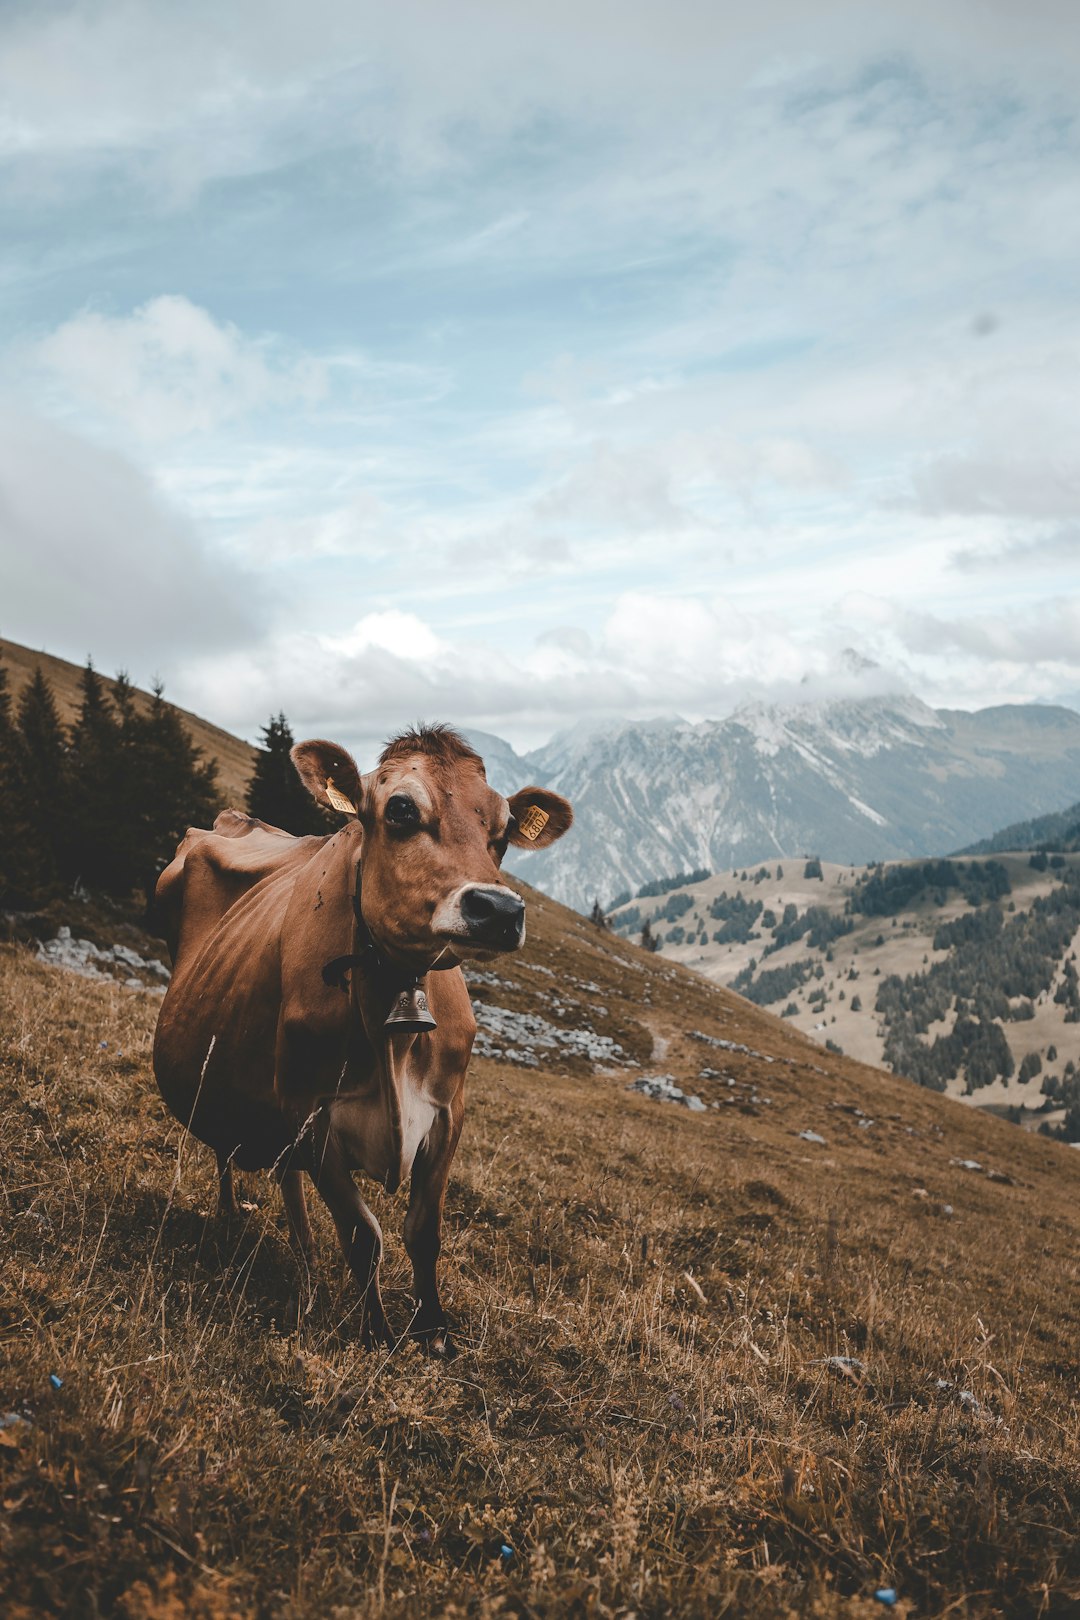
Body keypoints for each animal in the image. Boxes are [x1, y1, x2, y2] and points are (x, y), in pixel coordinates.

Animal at [153, 725, 573, 1354]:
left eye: (501, 832)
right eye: (400, 809)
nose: (499, 908)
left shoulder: (449, 1111)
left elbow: (423, 1232)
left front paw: (434, 1332)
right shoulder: (309, 1112)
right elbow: (362, 1235)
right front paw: (375, 1331)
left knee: (284, 1178)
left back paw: (303, 1265)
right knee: (229, 1152)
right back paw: (240, 1223)